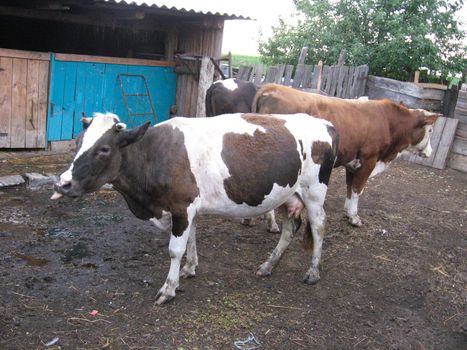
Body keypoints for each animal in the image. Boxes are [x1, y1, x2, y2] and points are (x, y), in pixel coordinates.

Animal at [52, 111, 340, 304]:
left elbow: (174, 249)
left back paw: (313, 272)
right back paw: (268, 265)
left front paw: (169, 289)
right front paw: (190, 268)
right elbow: (191, 238)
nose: (62, 183)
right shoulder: (186, 210)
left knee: (319, 226)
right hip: (287, 193)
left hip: (314, 192)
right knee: (291, 227)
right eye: (77, 142)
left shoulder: (182, 205)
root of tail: (324, 123)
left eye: (103, 149)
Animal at [252, 85, 438, 227]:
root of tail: (272, 87)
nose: (430, 152)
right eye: (430, 130)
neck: (387, 122)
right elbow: (357, 190)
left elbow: (350, 188)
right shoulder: (369, 160)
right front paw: (354, 217)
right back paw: (271, 222)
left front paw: (348, 213)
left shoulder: (352, 163)